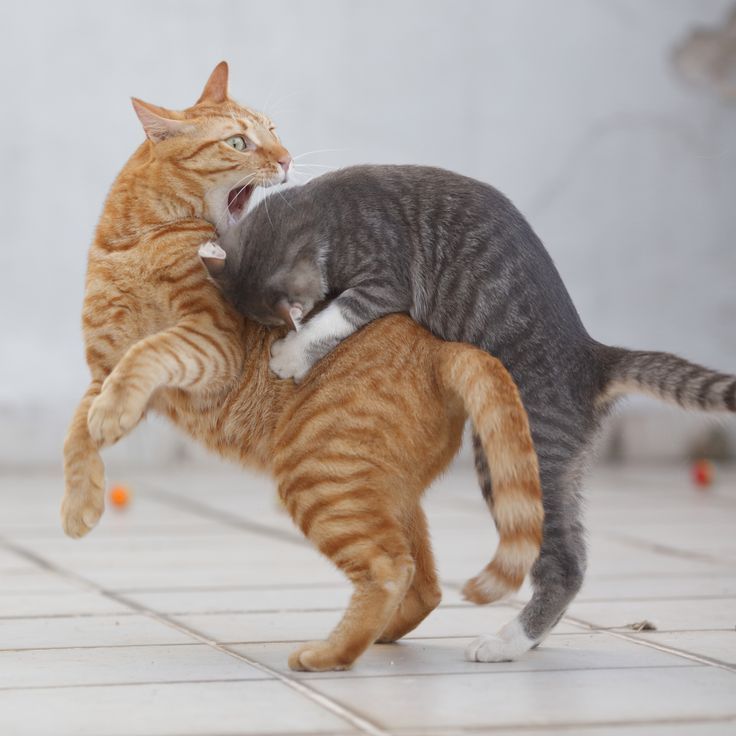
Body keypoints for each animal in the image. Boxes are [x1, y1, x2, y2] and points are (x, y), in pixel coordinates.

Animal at [63, 63, 544, 672]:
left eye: (273, 131)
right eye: (238, 142)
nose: (288, 158)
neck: (134, 240)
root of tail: (442, 348)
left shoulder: (208, 344)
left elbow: (144, 356)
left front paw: (109, 421)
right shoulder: (99, 370)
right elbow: (76, 435)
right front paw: (79, 505)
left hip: (318, 475)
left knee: (389, 568)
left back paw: (328, 654)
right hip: (382, 492)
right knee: (424, 582)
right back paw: (377, 637)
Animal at [201, 165, 736, 660]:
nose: (276, 337)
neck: (319, 210)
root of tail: (592, 359)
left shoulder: (383, 279)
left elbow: (338, 315)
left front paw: (292, 354)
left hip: (522, 453)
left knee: (562, 562)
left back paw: (507, 642)